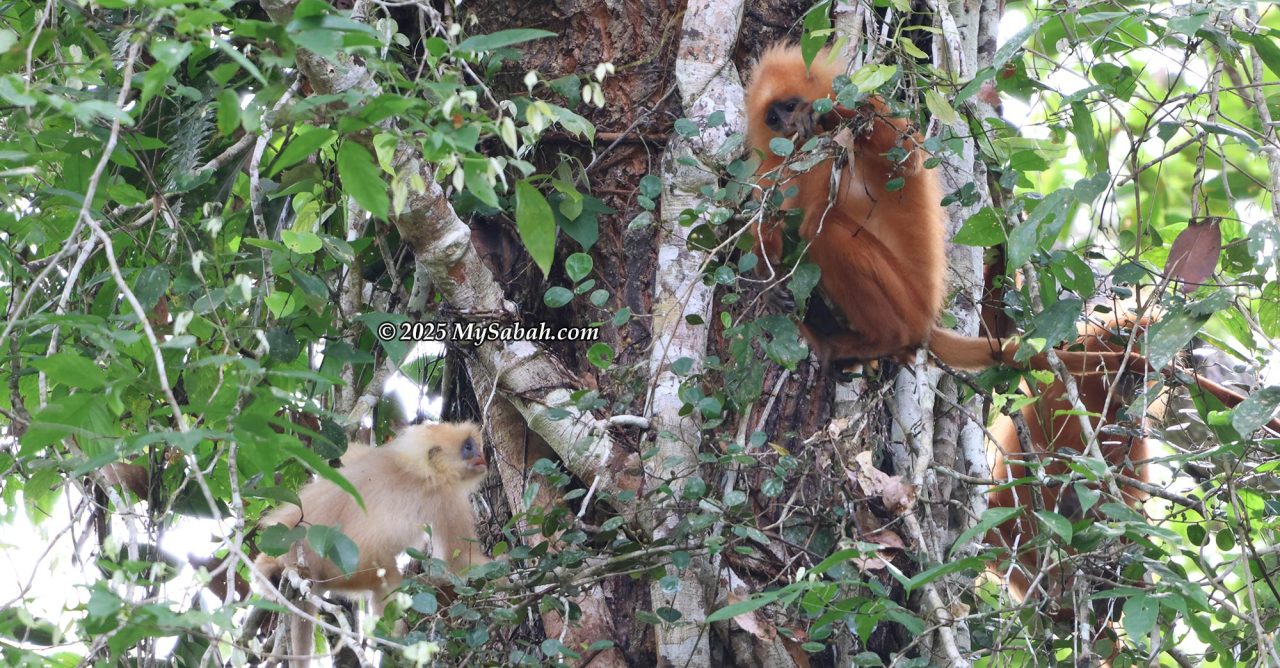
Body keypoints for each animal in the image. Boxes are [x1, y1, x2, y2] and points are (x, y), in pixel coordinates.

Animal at [254, 421, 491, 666]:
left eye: (474, 446)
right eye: (468, 447)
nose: (481, 457)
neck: (417, 470)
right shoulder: (448, 497)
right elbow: (462, 564)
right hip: (343, 570)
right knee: (386, 579)